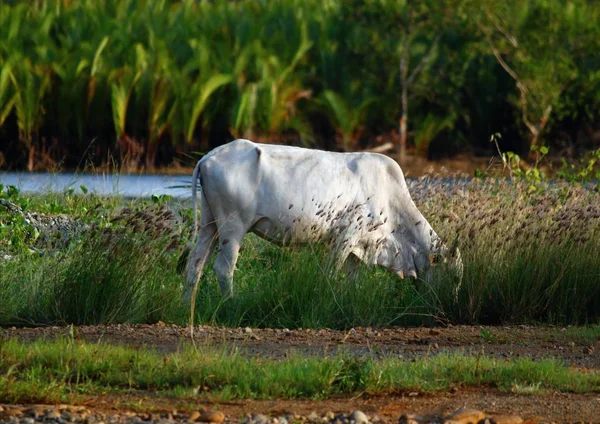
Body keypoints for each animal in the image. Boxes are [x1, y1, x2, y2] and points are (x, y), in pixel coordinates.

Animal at [180, 139, 462, 302]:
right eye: (454, 276)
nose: (452, 301)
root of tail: (208, 157)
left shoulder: (360, 247)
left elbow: (352, 280)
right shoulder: (346, 237)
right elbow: (330, 274)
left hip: (210, 225)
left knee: (194, 265)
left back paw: (186, 305)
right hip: (233, 228)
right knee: (223, 268)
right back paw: (231, 303)